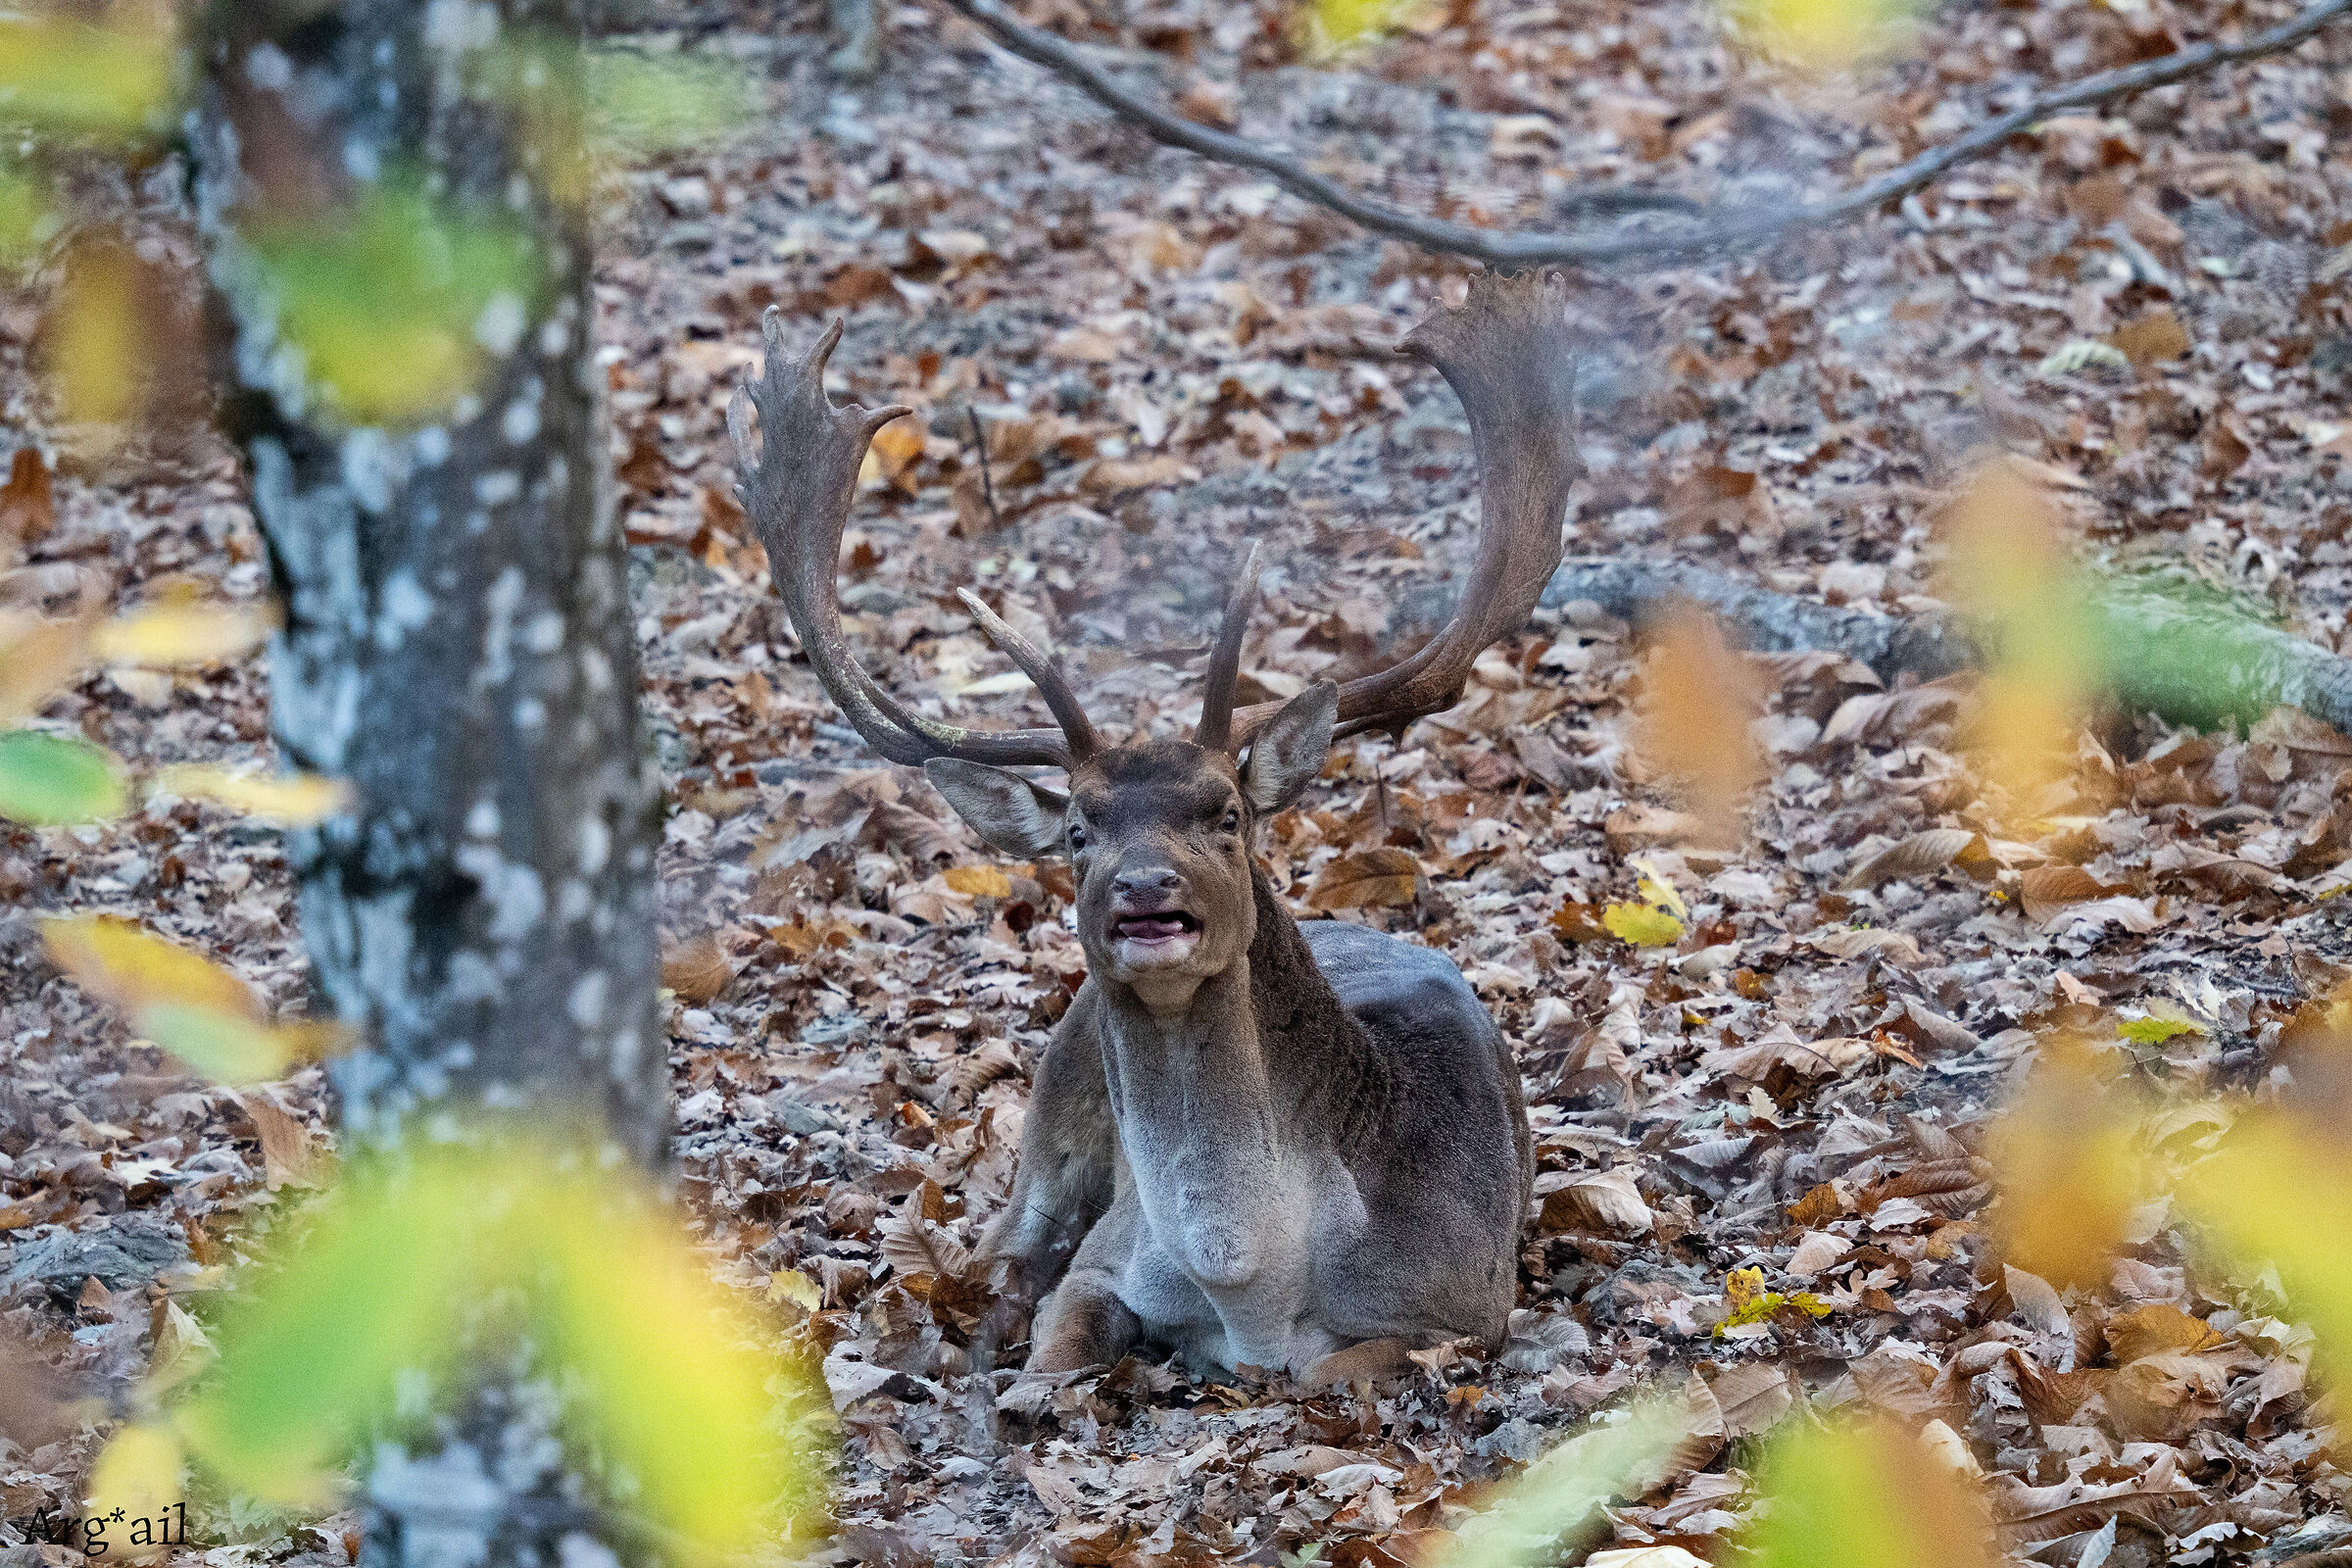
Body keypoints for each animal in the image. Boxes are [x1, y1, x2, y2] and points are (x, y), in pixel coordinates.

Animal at [729, 270, 1578, 1387]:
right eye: (1079, 831)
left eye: (1230, 812)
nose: (1143, 889)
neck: (1250, 1282)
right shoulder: (1106, 1261)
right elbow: (1060, 1341)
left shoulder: (1467, 1303)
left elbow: (1341, 1365)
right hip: (1052, 1097)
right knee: (1002, 1251)